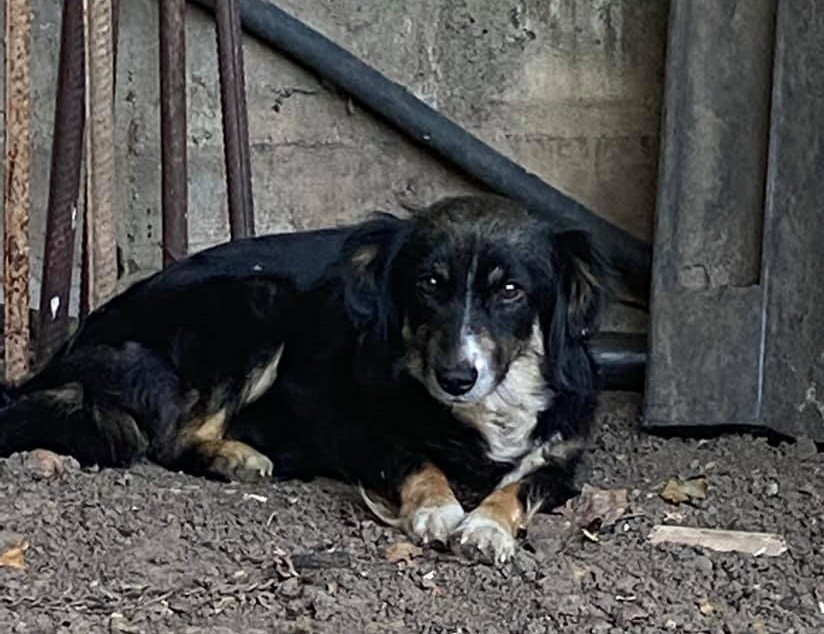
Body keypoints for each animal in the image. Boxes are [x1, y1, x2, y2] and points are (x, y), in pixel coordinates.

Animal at [0, 194, 604, 564]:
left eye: (511, 291)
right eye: (430, 284)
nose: (456, 376)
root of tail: (78, 343)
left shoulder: (562, 458)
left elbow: (519, 484)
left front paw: (486, 525)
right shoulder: (359, 431)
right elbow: (419, 462)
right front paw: (438, 509)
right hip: (259, 299)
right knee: (172, 437)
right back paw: (238, 457)